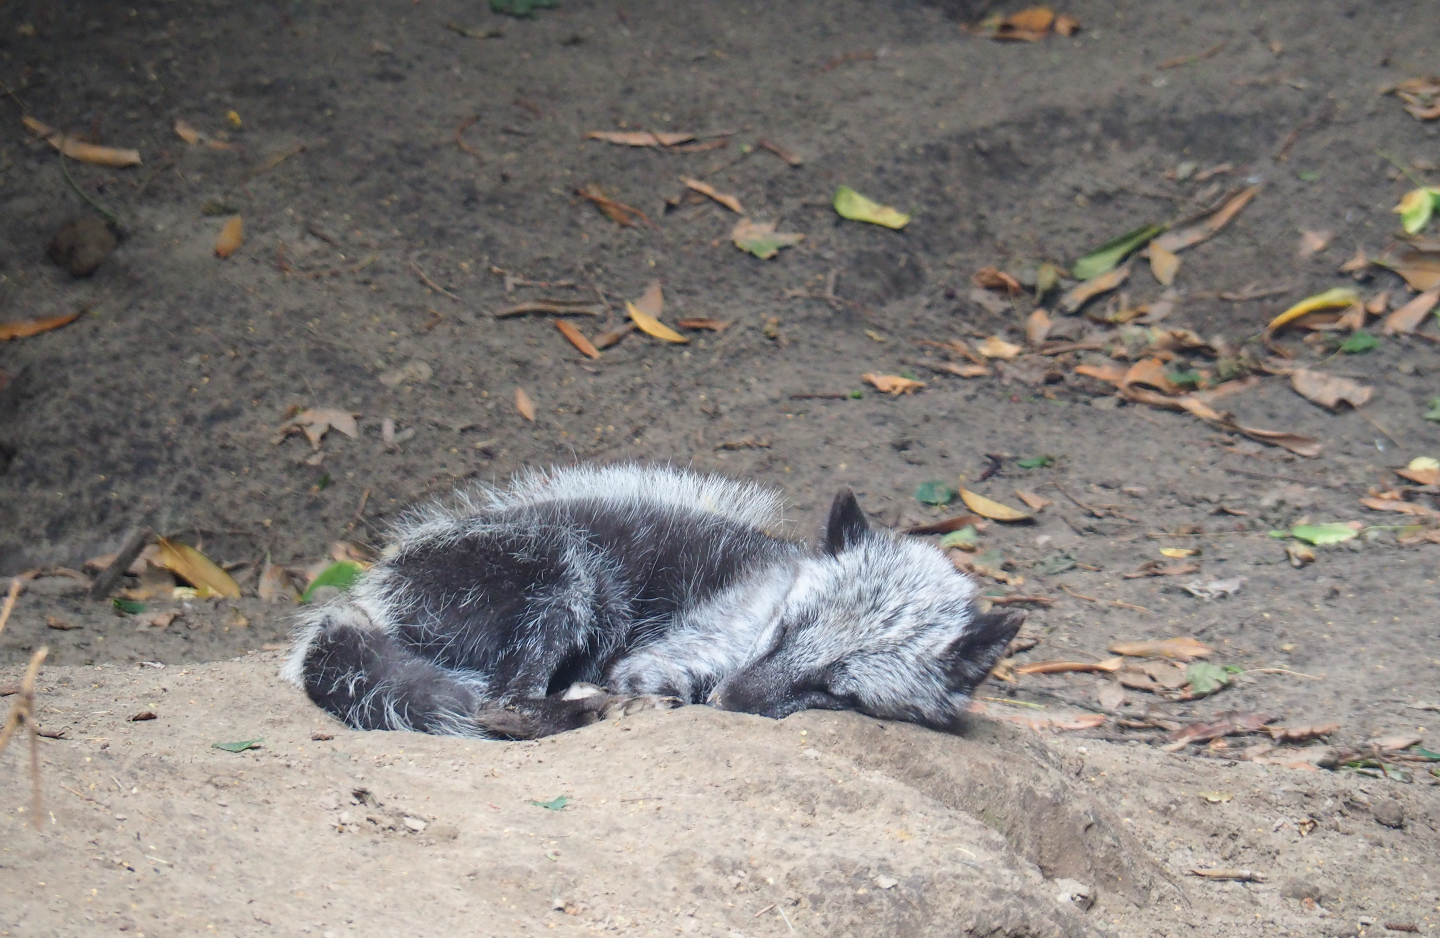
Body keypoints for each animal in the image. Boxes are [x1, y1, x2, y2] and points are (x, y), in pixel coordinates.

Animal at [281, 464, 1022, 739]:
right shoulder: (654, 660)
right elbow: (655, 681)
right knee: (501, 708)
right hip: (566, 578)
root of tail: (368, 591)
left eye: (836, 691)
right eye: (784, 632)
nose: (728, 701)